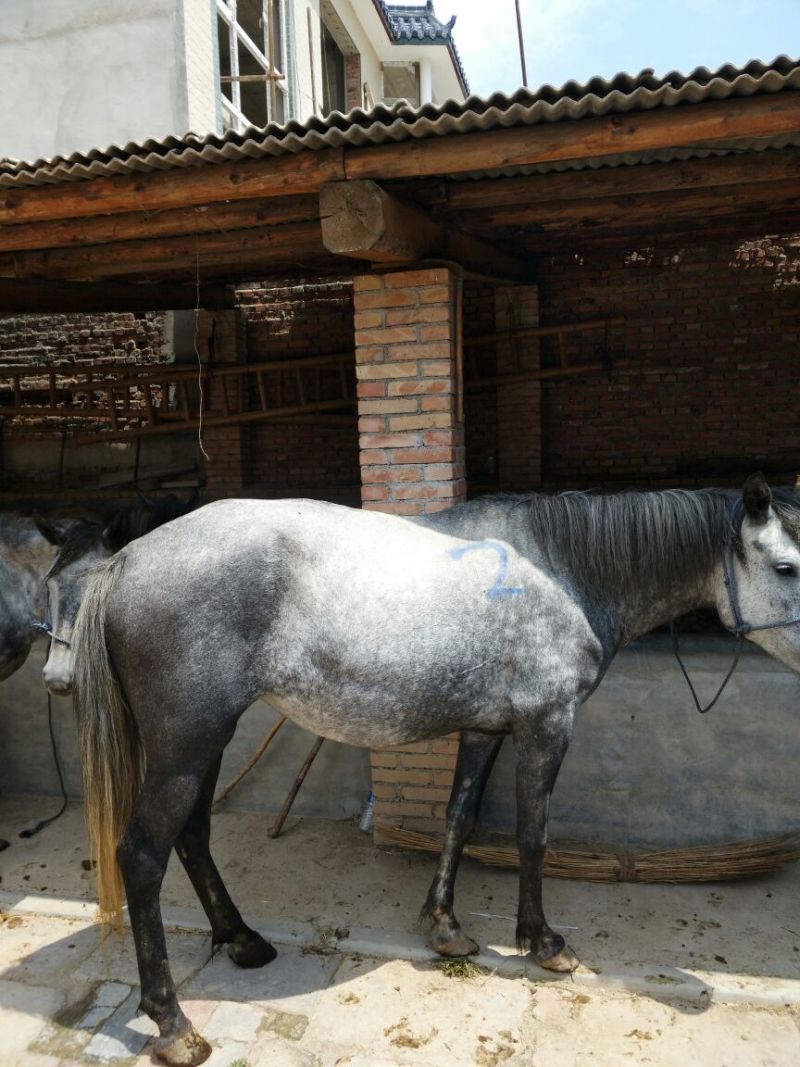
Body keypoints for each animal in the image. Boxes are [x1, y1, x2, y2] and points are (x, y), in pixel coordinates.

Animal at [65, 473, 800, 1067]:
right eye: (787, 565)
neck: (562, 570)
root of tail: (126, 560)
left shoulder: (484, 730)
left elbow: (460, 817)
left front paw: (445, 928)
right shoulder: (547, 724)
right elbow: (533, 833)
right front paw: (543, 941)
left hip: (203, 745)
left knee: (192, 836)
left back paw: (241, 939)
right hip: (185, 746)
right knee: (142, 856)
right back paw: (173, 1024)